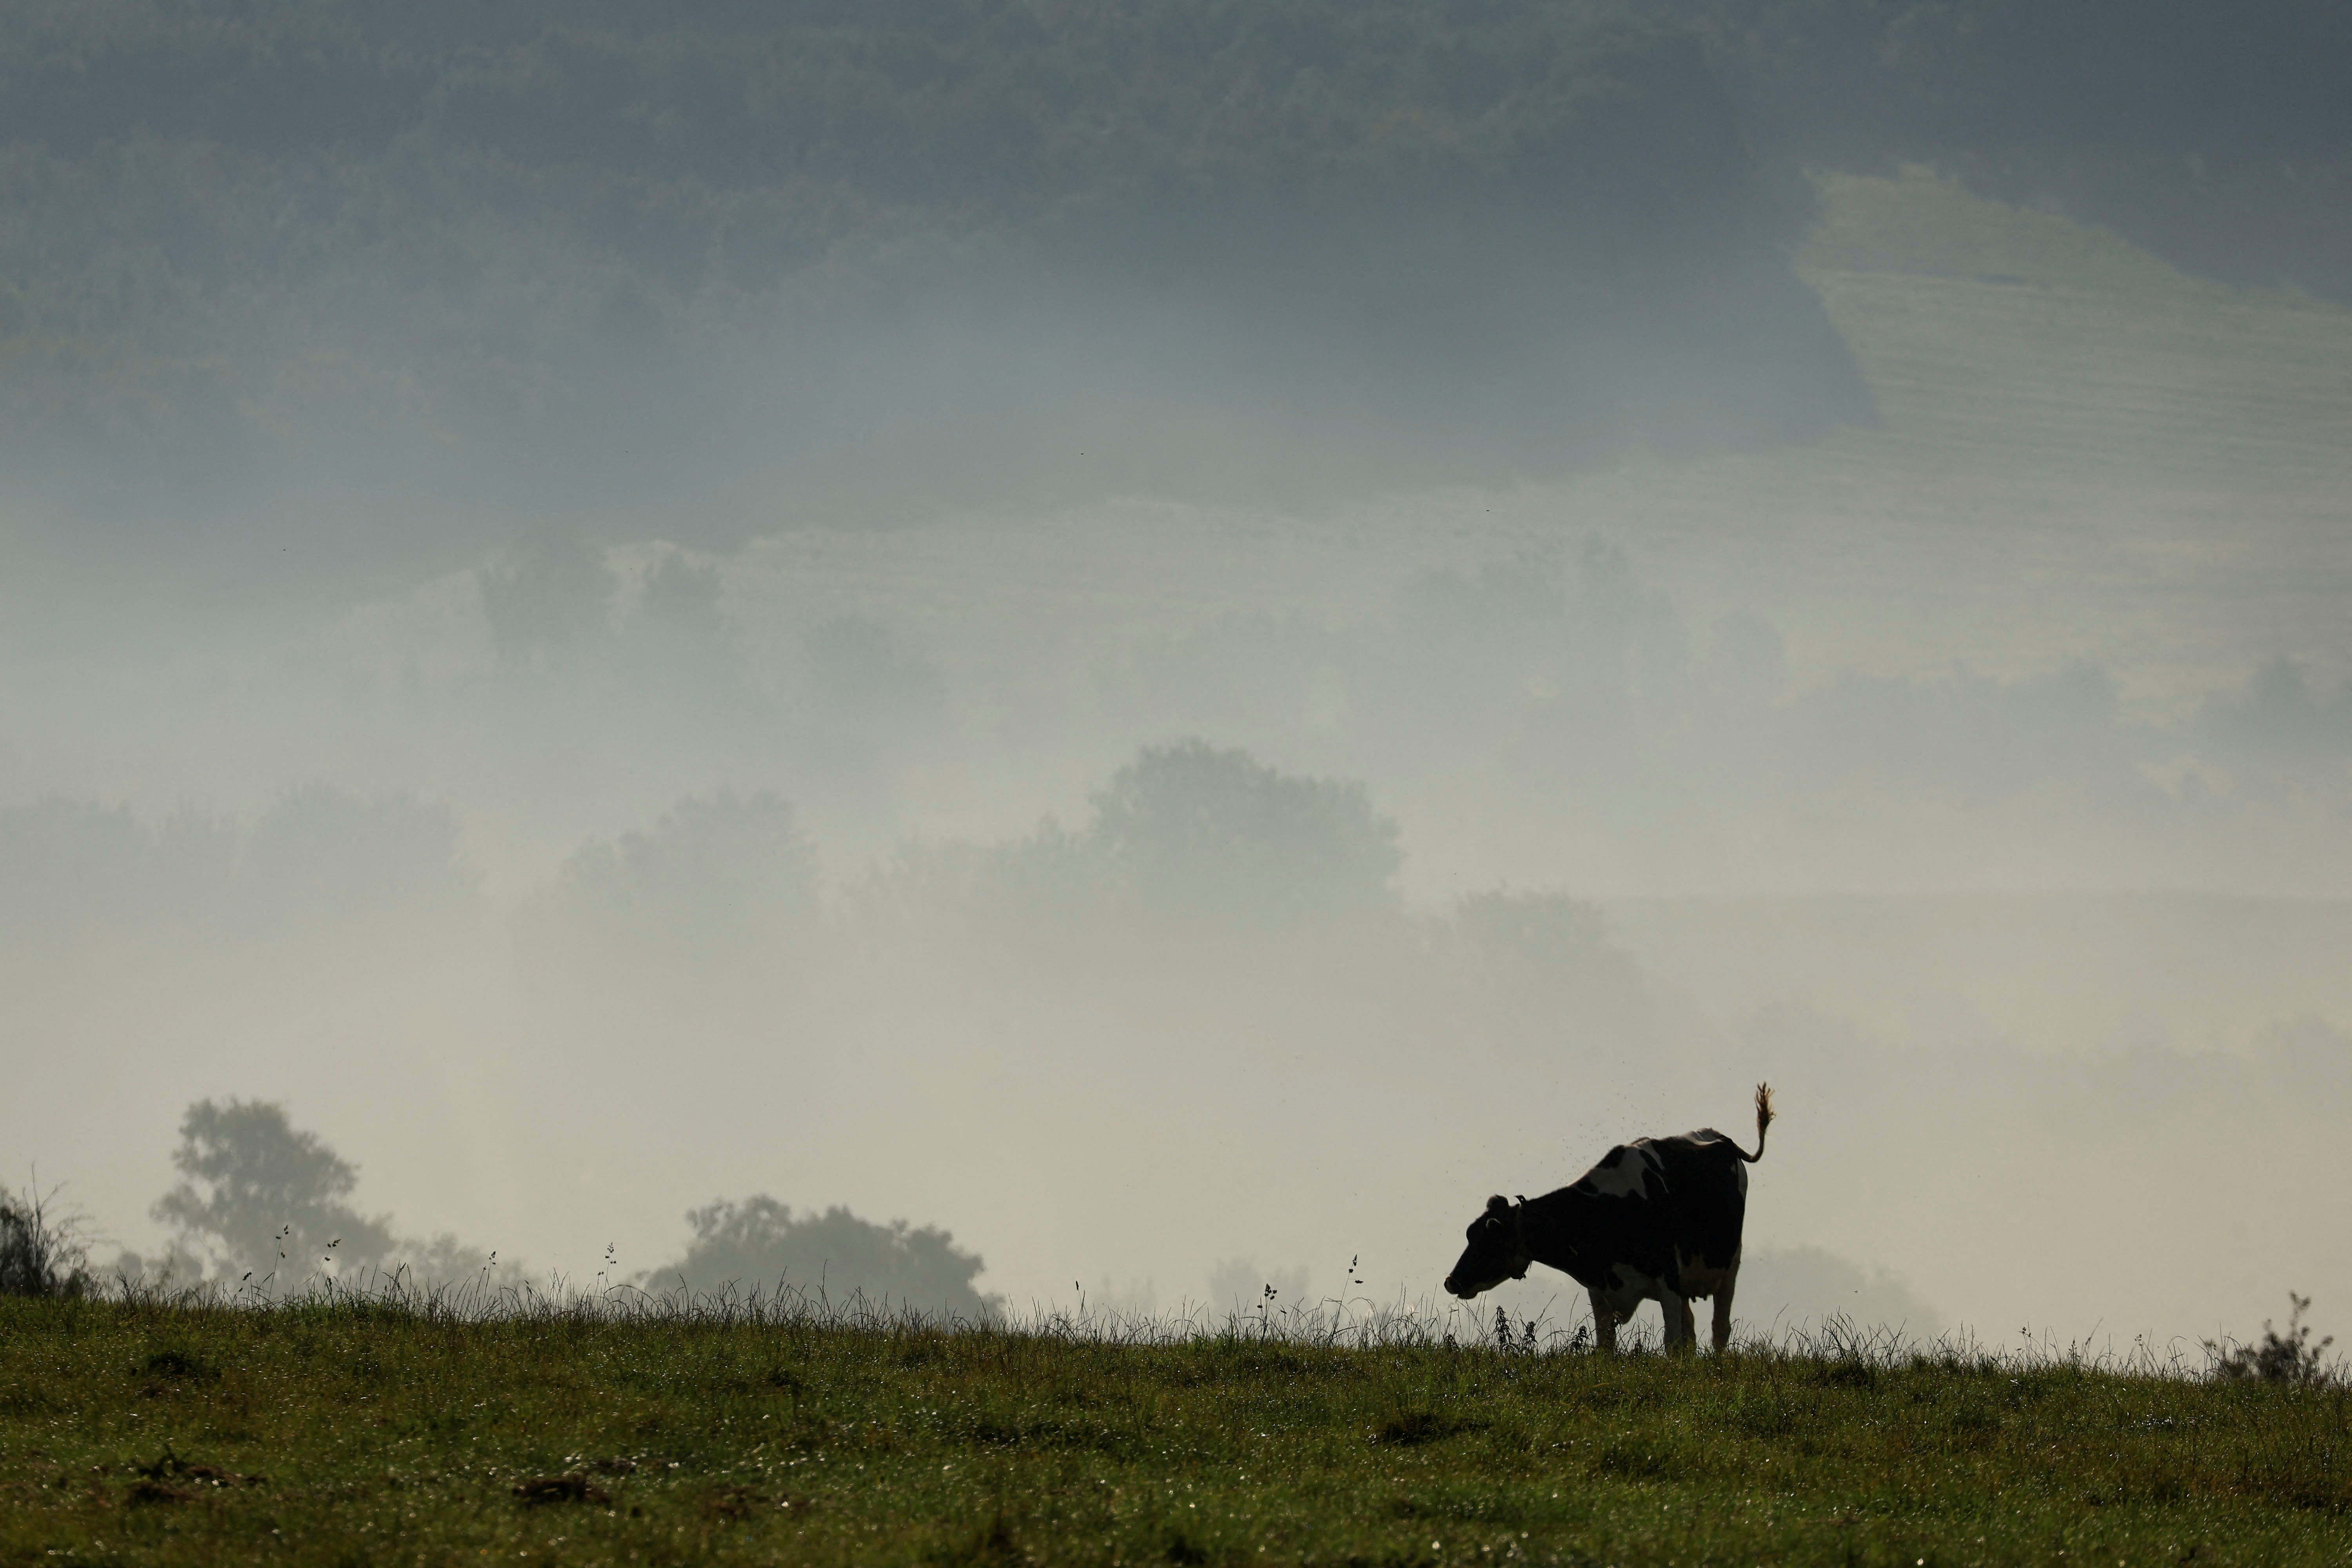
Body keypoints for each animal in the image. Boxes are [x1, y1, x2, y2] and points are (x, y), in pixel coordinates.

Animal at [1443, 1084, 1775, 1354]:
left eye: (1490, 1241)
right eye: (1469, 1234)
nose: (1451, 1281)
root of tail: (1719, 1137)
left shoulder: (1668, 1280)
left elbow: (1672, 1343)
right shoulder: (1599, 1288)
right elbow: (1606, 1344)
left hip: (1730, 1265)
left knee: (1720, 1329)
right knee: (1693, 1330)